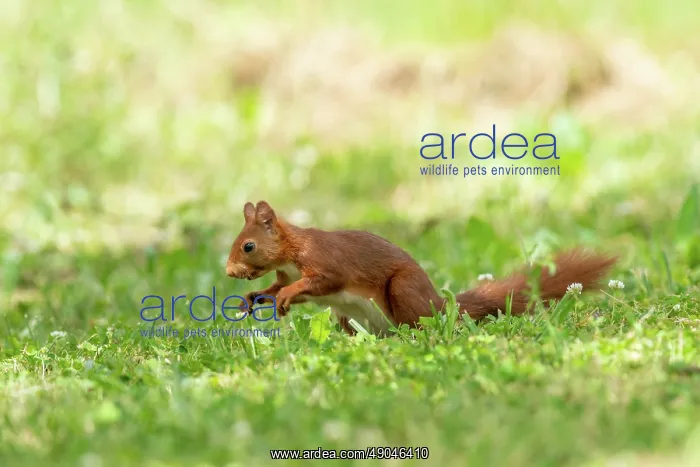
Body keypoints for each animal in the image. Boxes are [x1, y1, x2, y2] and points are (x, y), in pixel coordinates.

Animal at [225, 201, 618, 336]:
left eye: (248, 245)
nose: (229, 272)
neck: (290, 253)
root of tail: (440, 306)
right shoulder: (285, 273)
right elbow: (276, 288)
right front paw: (254, 297)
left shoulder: (323, 263)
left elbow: (322, 282)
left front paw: (285, 297)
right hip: (347, 316)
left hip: (403, 289)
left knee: (418, 324)